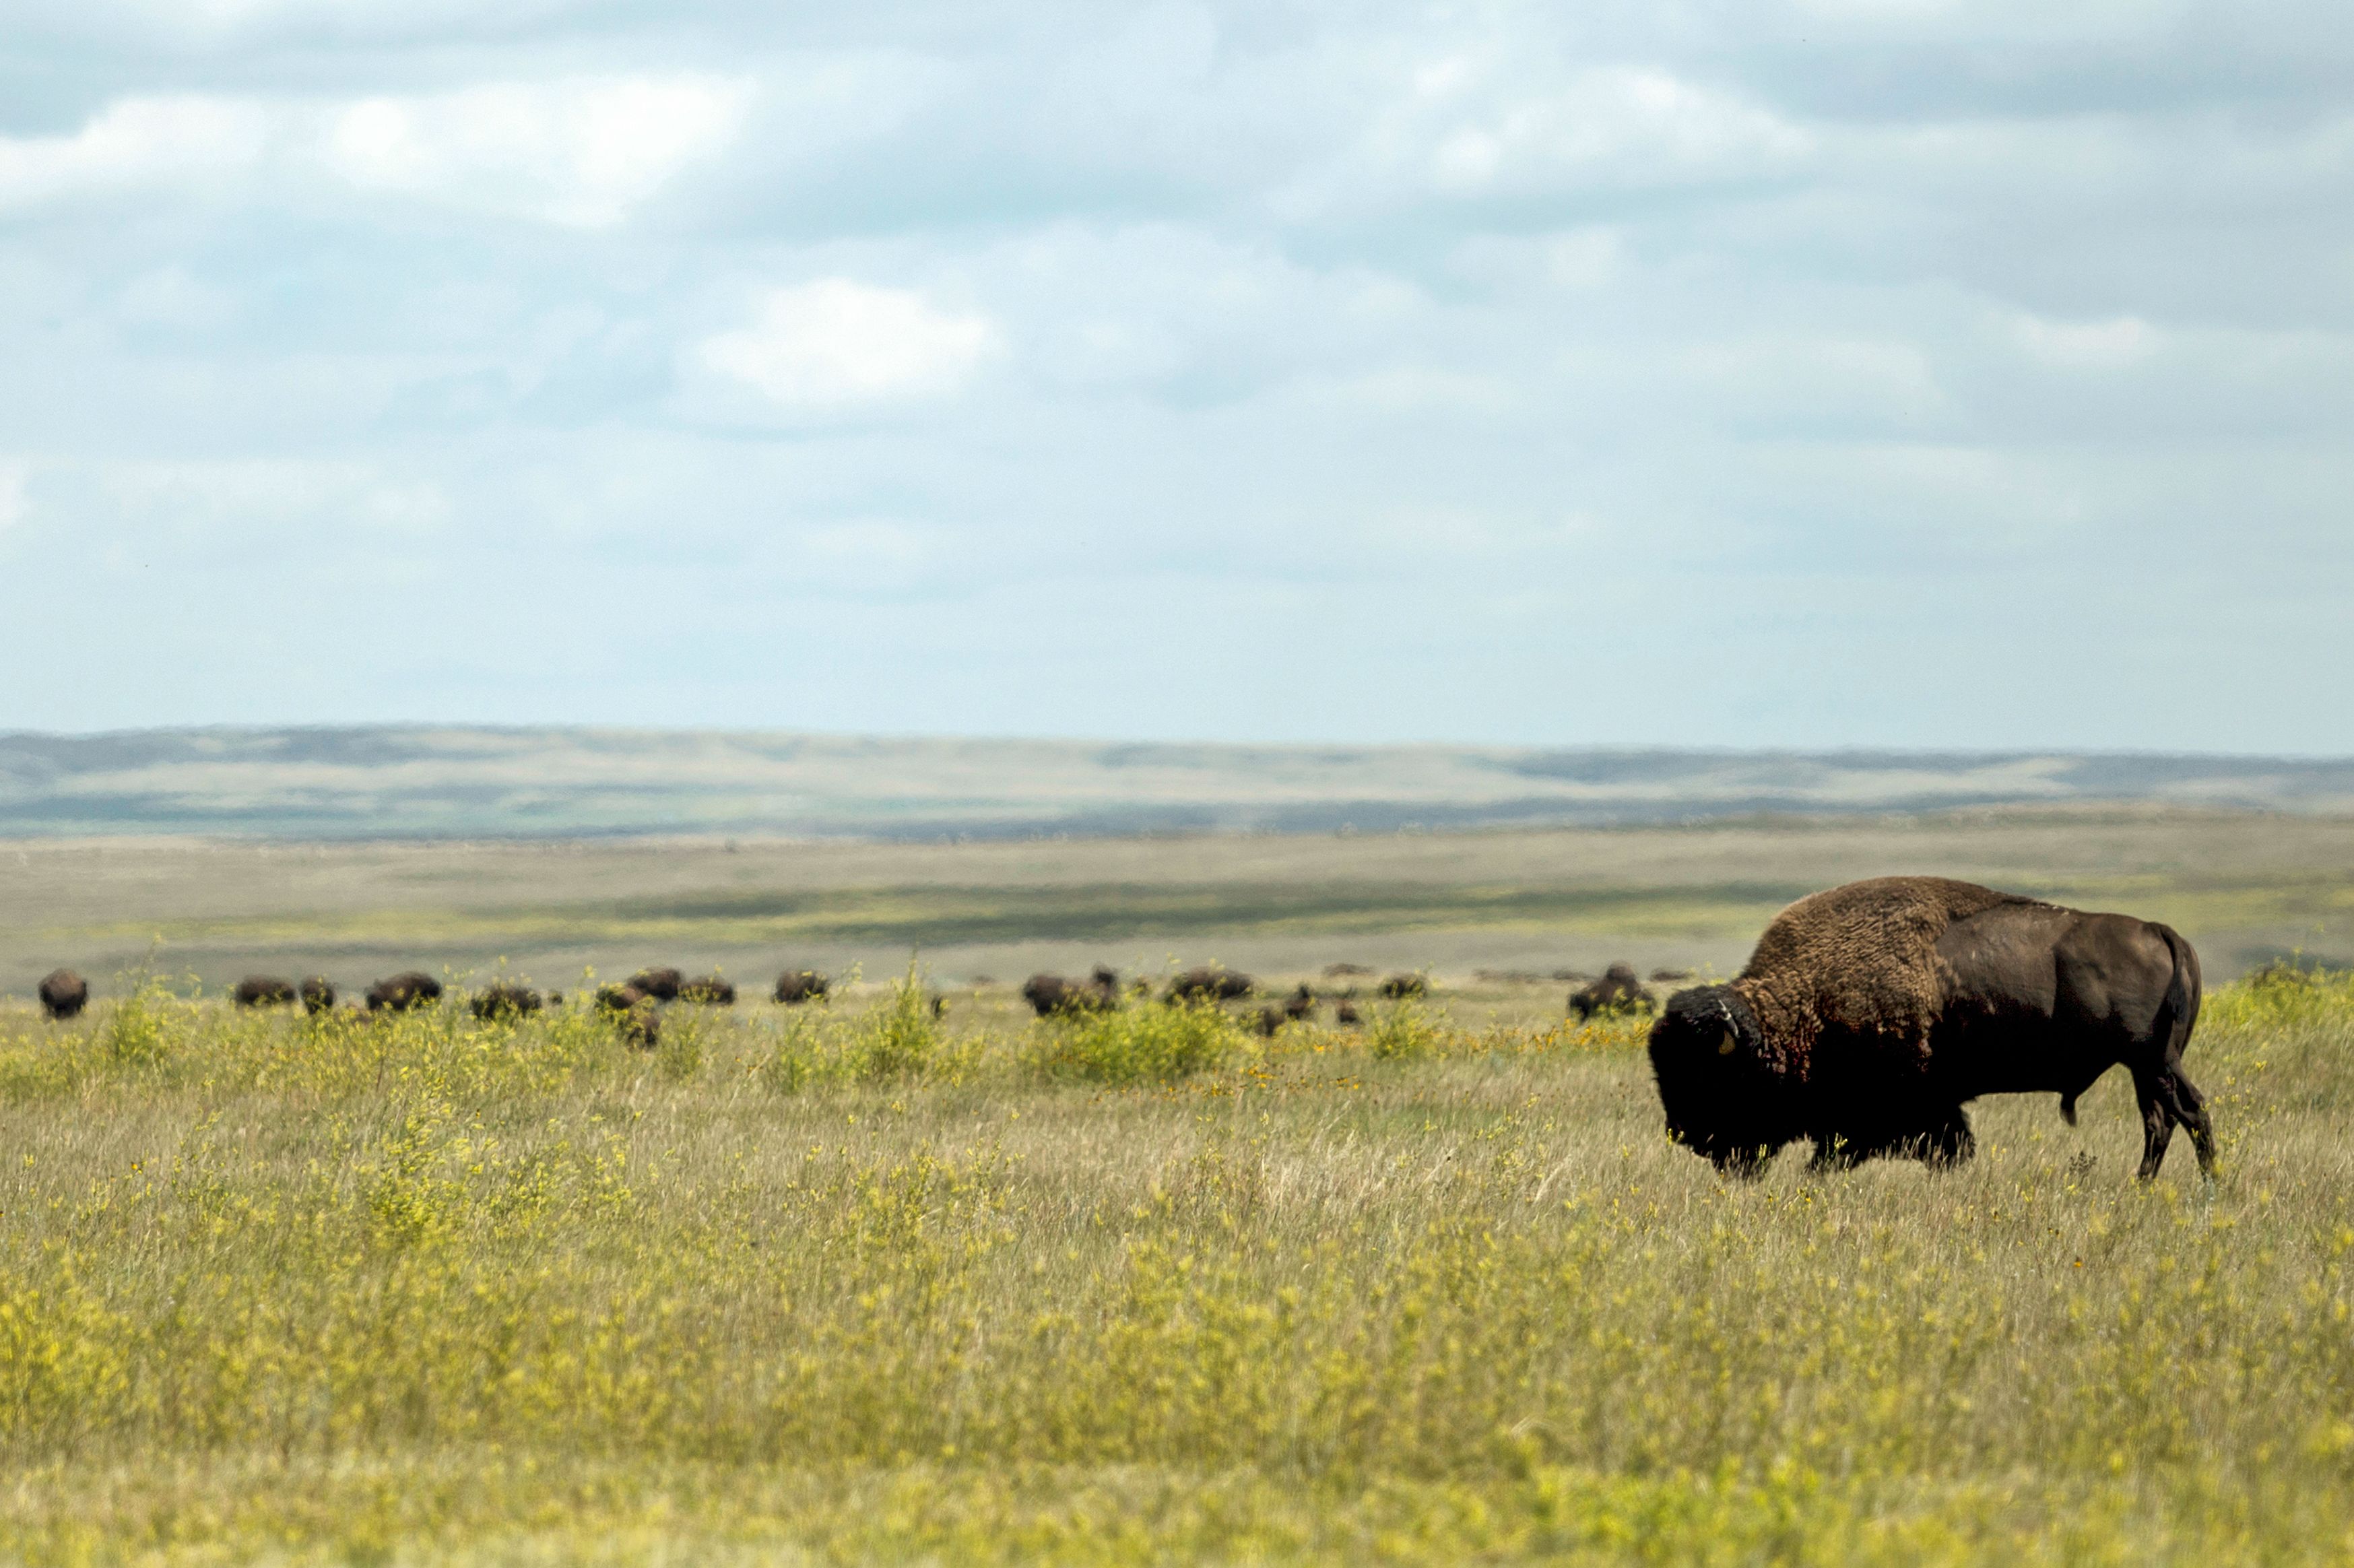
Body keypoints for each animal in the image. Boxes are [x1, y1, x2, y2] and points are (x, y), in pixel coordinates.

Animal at [1647, 876, 2213, 1181]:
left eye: (1706, 1074)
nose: (1682, 1133)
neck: (1804, 1000)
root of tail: (2158, 931)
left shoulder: (1896, 1110)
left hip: (2151, 1061)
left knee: (2187, 1113)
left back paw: (2205, 1186)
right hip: (2146, 1066)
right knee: (2161, 1121)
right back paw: (2144, 1185)